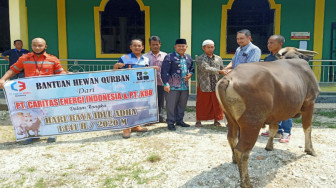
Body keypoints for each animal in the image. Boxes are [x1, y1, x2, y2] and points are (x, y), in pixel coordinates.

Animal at [217, 47, 318, 187]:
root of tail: (229, 77)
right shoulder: (310, 102)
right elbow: (307, 128)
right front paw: (310, 150)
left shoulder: (275, 114)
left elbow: (273, 129)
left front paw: (269, 146)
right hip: (252, 124)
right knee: (242, 151)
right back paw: (246, 182)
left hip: (231, 120)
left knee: (231, 138)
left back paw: (234, 161)